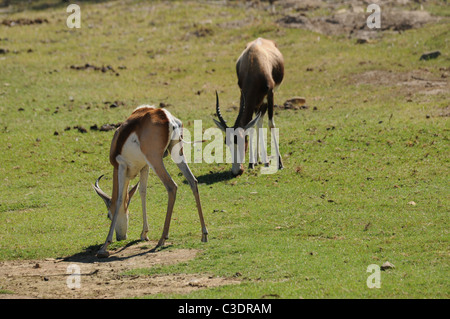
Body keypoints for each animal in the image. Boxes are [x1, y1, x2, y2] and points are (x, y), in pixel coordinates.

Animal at [94, 106, 209, 258]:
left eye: (108, 215)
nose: (120, 238)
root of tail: (166, 116)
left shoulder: (122, 167)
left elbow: (119, 200)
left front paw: (104, 246)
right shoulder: (144, 166)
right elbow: (143, 192)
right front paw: (144, 234)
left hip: (155, 159)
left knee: (172, 186)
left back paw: (162, 239)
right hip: (176, 153)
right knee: (193, 181)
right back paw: (204, 234)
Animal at [213, 38, 284, 178]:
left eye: (241, 141)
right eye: (227, 142)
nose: (236, 171)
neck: (254, 61)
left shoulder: (270, 93)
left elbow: (271, 124)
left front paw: (279, 163)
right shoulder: (245, 95)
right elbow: (251, 127)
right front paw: (252, 163)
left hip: (264, 100)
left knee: (260, 121)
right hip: (258, 102)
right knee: (257, 123)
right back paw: (258, 159)